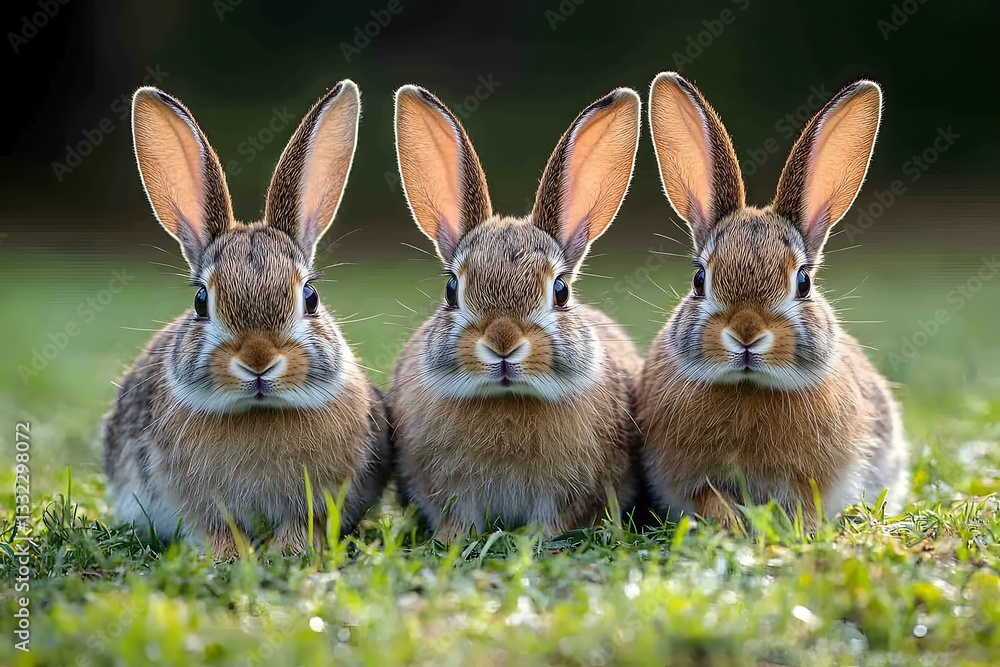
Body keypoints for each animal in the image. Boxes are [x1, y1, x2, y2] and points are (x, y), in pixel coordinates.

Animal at [102, 80, 390, 558]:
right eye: (201, 301)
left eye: (310, 298)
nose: (258, 361)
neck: (260, 411)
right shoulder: (193, 504)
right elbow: (214, 527)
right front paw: (229, 556)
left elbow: (304, 523)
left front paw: (290, 551)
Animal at [388, 84, 645, 541]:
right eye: (451, 290)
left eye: (560, 291)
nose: (503, 343)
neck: (507, 397)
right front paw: (454, 539)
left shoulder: (569, 492)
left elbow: (554, 518)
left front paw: (538, 539)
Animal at [636, 72, 909, 530]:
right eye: (699, 280)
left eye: (803, 282)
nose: (746, 334)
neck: (750, 388)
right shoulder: (689, 480)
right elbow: (710, 500)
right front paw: (729, 525)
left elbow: (804, 506)